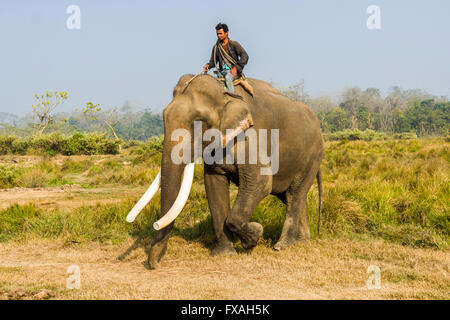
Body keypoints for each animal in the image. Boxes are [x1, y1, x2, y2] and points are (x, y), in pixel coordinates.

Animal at [126, 74, 324, 268]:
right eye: (163, 117)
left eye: (198, 121)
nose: (153, 265)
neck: (225, 94)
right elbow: (213, 185)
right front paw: (224, 253)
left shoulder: (250, 136)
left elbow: (260, 183)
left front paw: (254, 236)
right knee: (290, 196)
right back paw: (302, 241)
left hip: (312, 157)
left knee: (294, 194)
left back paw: (282, 245)